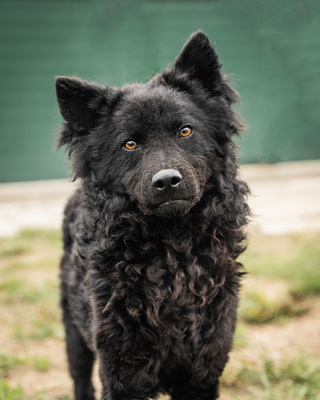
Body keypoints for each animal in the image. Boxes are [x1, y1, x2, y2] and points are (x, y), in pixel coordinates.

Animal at [55, 32, 250, 400]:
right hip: (75, 335)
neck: (173, 253)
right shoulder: (121, 372)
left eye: (185, 131)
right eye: (130, 144)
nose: (167, 180)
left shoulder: (202, 370)